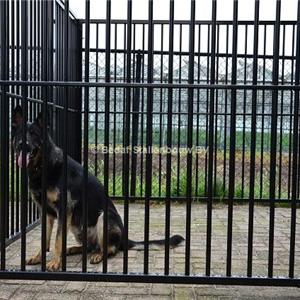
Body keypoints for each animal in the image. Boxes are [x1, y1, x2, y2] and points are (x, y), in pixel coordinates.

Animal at [11, 106, 184, 272]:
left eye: (34, 134)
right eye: (19, 133)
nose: (22, 145)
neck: (43, 166)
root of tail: (124, 238)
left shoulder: (64, 210)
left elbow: (58, 240)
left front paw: (54, 263)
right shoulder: (46, 213)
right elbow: (44, 239)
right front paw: (39, 257)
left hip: (104, 217)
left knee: (110, 249)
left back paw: (99, 255)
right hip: (76, 226)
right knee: (89, 246)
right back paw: (73, 249)